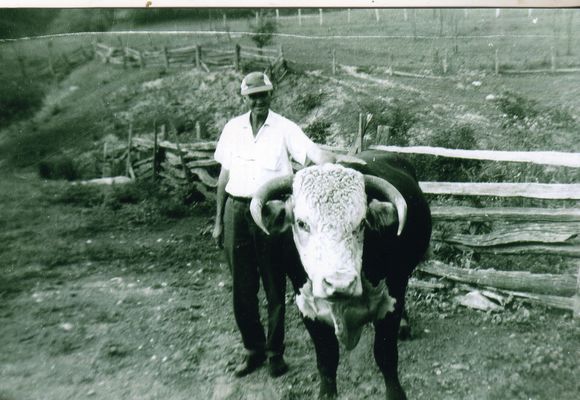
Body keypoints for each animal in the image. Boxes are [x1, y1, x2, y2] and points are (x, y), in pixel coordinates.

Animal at [249, 151, 430, 400]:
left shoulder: (390, 300)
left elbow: (386, 356)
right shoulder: (308, 308)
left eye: (362, 223)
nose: (340, 284)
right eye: (301, 223)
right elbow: (327, 359)